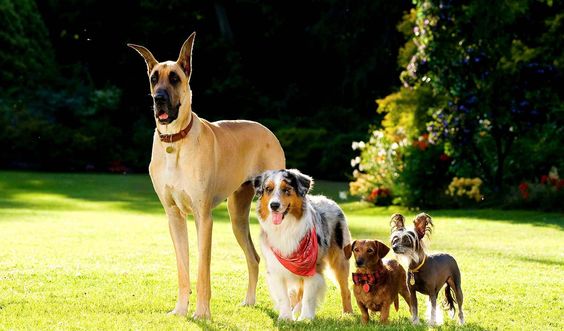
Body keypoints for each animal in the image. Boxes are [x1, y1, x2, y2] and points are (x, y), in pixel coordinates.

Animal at [129, 33, 284, 320]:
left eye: (175, 78)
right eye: (154, 78)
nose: (159, 98)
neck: (175, 141)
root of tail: (268, 130)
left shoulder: (204, 217)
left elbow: (203, 270)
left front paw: (202, 313)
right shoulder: (174, 216)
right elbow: (183, 268)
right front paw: (180, 309)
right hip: (237, 216)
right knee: (254, 257)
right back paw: (249, 301)